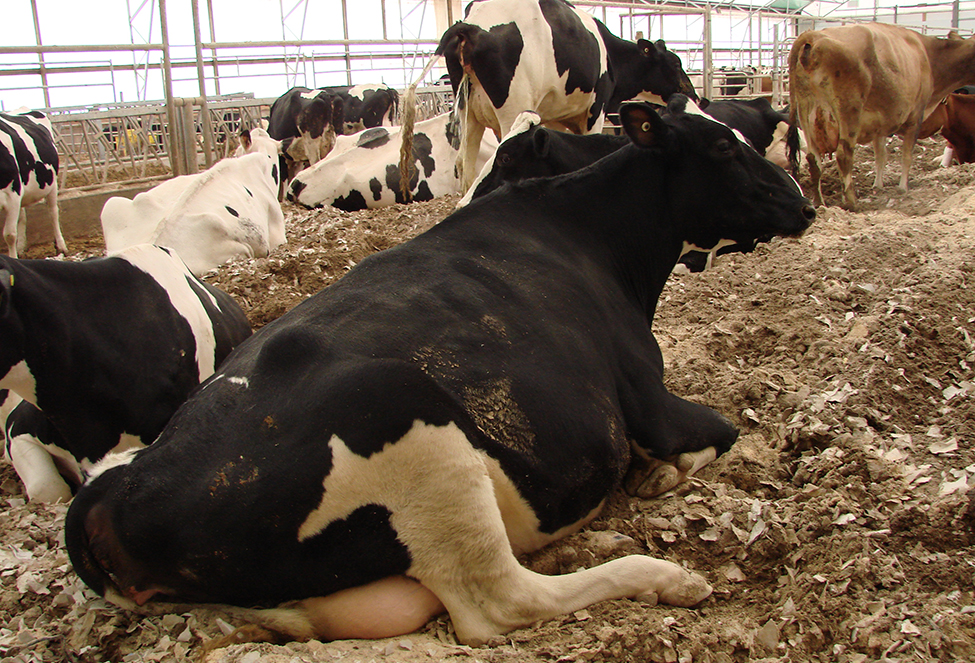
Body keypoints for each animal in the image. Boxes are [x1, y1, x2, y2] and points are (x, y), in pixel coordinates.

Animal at [0, 110, 66, 258]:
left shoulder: (12, 194)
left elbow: (9, 235)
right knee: (22, 217)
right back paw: (20, 247)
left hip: (52, 184)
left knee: (53, 212)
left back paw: (61, 246)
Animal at [63, 98, 816, 648]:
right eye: (723, 147)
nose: (805, 202)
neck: (596, 238)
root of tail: (119, 497)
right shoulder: (649, 397)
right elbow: (722, 431)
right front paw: (661, 475)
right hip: (411, 427)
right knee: (500, 600)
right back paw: (665, 576)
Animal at [430, 0, 696, 191]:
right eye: (675, 63)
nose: (694, 95)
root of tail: (471, 25)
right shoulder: (595, 109)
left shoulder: (556, 117)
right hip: (511, 109)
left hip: (469, 114)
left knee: (464, 165)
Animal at [788, 24, 975, 208]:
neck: (929, 56)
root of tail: (812, 35)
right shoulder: (915, 116)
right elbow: (907, 156)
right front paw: (903, 188)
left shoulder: (879, 125)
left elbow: (880, 155)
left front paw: (877, 185)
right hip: (849, 110)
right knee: (844, 155)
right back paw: (852, 203)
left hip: (806, 110)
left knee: (813, 160)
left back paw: (819, 202)